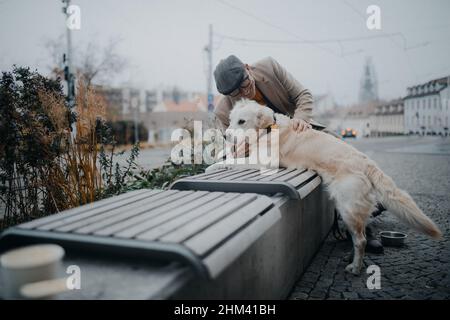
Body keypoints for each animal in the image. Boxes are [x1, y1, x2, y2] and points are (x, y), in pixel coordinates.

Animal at [208, 100, 442, 276]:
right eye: (231, 120)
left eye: (241, 121)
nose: (226, 135)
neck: (267, 129)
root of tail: (365, 161)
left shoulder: (263, 164)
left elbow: (232, 162)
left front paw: (213, 166)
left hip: (348, 206)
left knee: (361, 240)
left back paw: (355, 267)